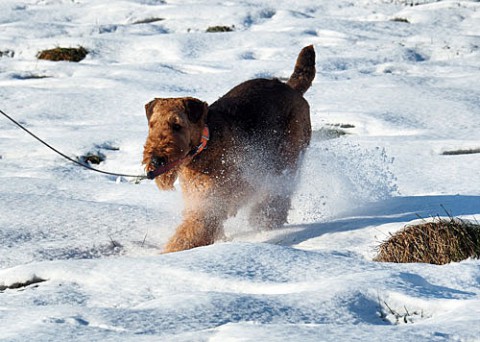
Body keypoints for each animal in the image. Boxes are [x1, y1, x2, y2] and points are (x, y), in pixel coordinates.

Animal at [142, 45, 316, 252]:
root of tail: (290, 87)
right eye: (152, 125)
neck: (203, 148)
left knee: (279, 192)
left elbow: (187, 236)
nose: (155, 160)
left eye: (177, 125)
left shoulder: (208, 207)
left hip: (288, 156)